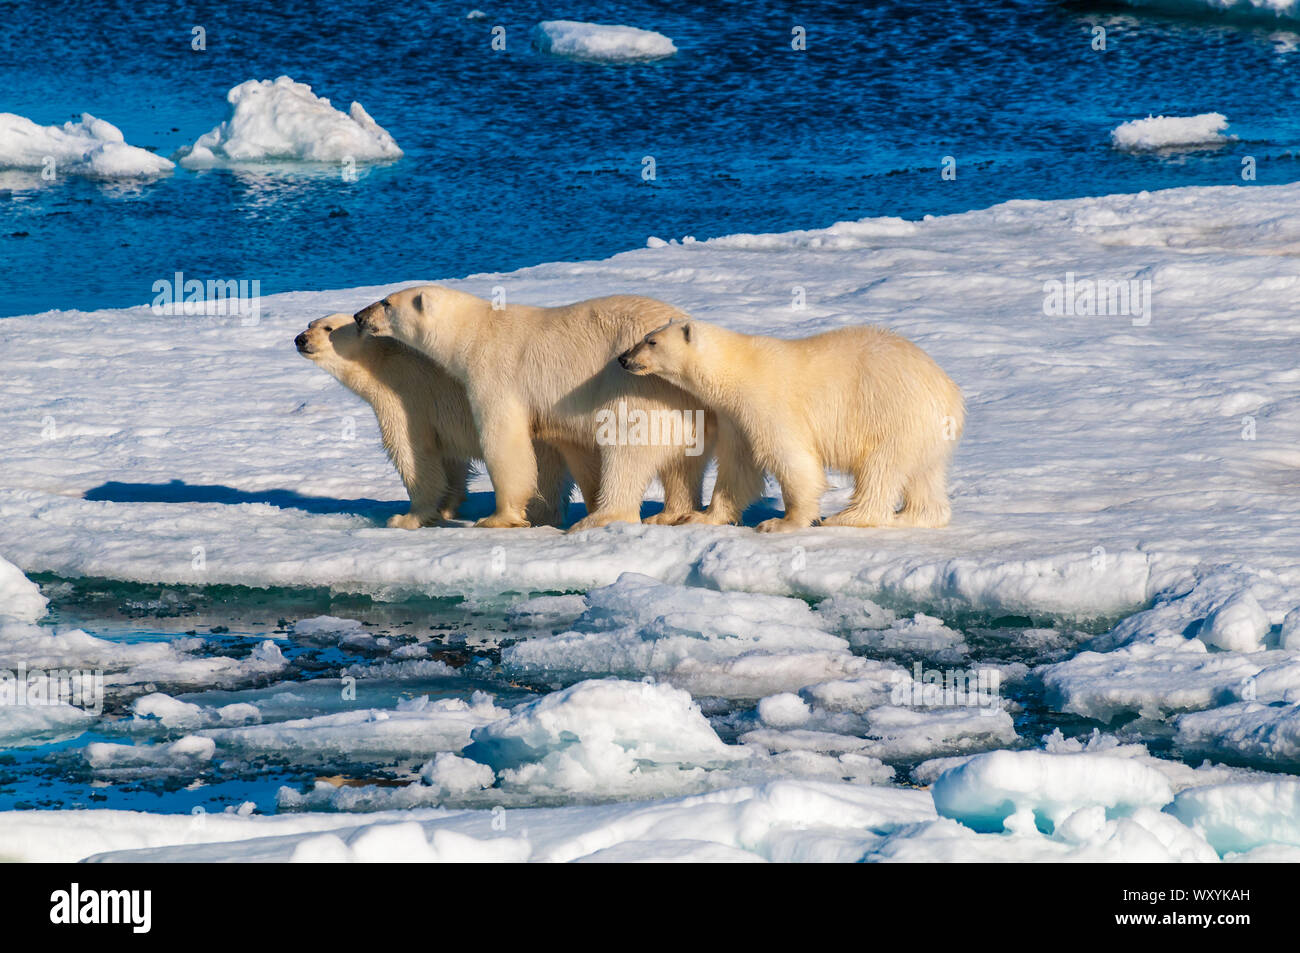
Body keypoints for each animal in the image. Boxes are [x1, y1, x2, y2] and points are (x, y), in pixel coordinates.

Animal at [295, 313, 575, 528]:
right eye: (309, 323)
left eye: (328, 328)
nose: (300, 339)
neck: (382, 363)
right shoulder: (442, 420)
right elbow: (451, 460)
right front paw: (447, 508)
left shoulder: (408, 398)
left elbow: (413, 455)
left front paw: (406, 518)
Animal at [352, 287, 713, 531]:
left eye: (386, 302)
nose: (359, 316)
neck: (476, 331)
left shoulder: (494, 373)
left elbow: (504, 441)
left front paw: (497, 518)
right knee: (684, 464)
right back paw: (671, 513)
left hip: (640, 387)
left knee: (627, 448)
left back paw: (600, 517)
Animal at [617, 318, 964, 532]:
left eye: (651, 341)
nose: (623, 359)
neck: (739, 370)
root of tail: (950, 393)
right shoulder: (735, 417)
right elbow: (737, 469)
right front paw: (698, 516)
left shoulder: (769, 404)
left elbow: (792, 461)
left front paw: (780, 523)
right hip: (926, 433)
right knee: (923, 475)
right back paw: (913, 516)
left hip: (895, 414)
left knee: (881, 468)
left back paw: (846, 517)